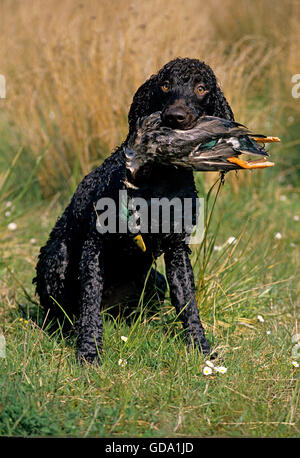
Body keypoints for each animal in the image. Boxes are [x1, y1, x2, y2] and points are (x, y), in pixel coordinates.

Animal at [34, 58, 233, 364]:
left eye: (201, 88)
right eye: (165, 85)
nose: (175, 116)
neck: (161, 178)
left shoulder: (177, 250)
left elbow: (188, 303)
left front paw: (202, 349)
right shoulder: (94, 245)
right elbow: (89, 303)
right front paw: (89, 352)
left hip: (155, 281)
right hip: (58, 257)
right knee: (66, 312)